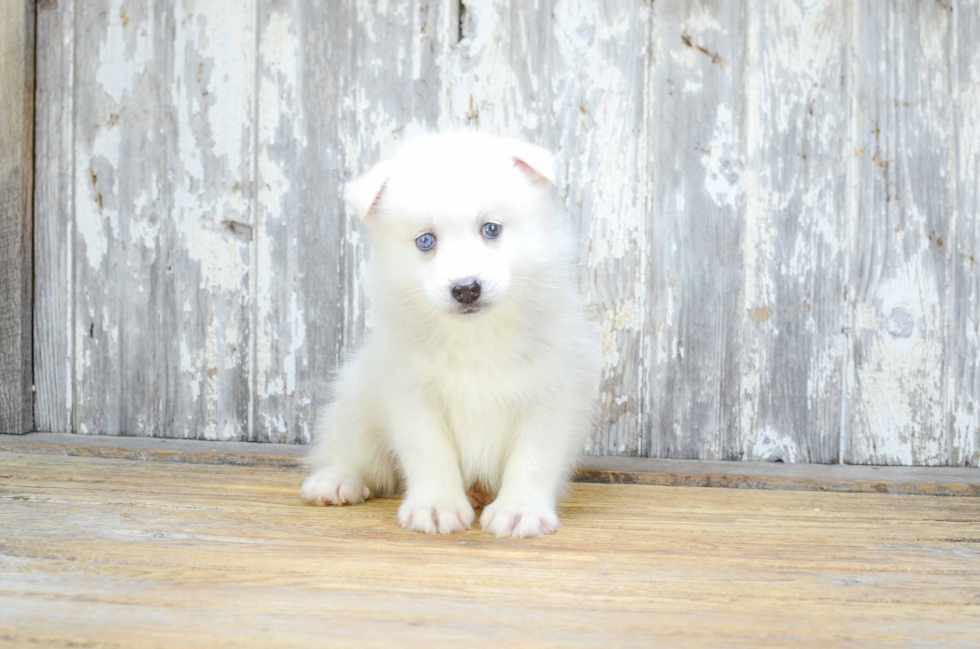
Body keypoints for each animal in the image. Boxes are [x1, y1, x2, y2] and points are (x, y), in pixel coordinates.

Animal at [302, 130, 600, 536]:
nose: (466, 289)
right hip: (356, 399)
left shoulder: (551, 395)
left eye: (491, 229)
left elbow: (533, 458)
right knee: (353, 451)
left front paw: (519, 510)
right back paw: (335, 480)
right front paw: (436, 506)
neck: (475, 335)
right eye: (425, 241)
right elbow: (430, 452)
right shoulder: (412, 395)